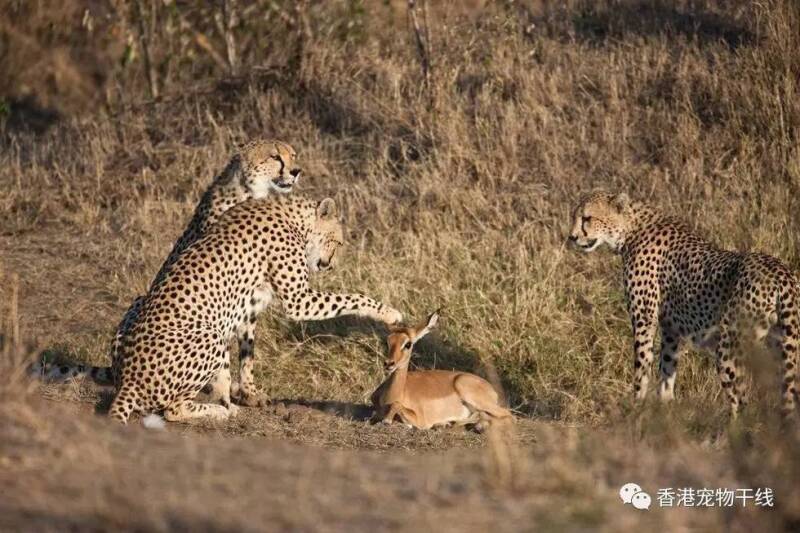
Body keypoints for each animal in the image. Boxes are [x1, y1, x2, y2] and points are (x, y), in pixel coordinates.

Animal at [32, 137, 304, 404]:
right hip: (141, 305)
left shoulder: (249, 300)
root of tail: (118, 367)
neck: (251, 196)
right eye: (274, 156)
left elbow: (248, 351)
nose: (296, 171)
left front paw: (249, 392)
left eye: (293, 155)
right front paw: (223, 393)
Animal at [109, 193, 404, 422]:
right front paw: (389, 313)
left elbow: (247, 353)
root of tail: (128, 380)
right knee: (172, 409)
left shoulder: (247, 307)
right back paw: (219, 411)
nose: (330, 265)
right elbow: (352, 298)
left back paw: (225, 403)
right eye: (338, 241)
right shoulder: (299, 300)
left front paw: (247, 393)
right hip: (209, 336)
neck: (294, 218)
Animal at [568, 189, 800, 418]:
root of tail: (781, 273)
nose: (572, 237)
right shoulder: (671, 328)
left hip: (730, 347)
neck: (630, 228)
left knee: (741, 400)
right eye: (574, 217)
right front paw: (666, 407)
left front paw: (637, 407)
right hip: (782, 345)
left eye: (587, 218)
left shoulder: (644, 319)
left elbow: (642, 367)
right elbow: (667, 367)